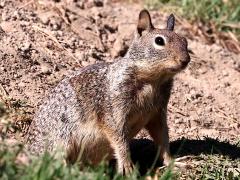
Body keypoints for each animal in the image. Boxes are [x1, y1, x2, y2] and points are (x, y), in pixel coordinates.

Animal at [26, 9, 190, 174]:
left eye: (185, 41)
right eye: (159, 41)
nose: (185, 60)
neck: (153, 82)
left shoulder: (157, 113)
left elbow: (162, 138)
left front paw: (172, 162)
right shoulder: (114, 108)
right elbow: (118, 136)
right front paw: (127, 165)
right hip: (60, 142)